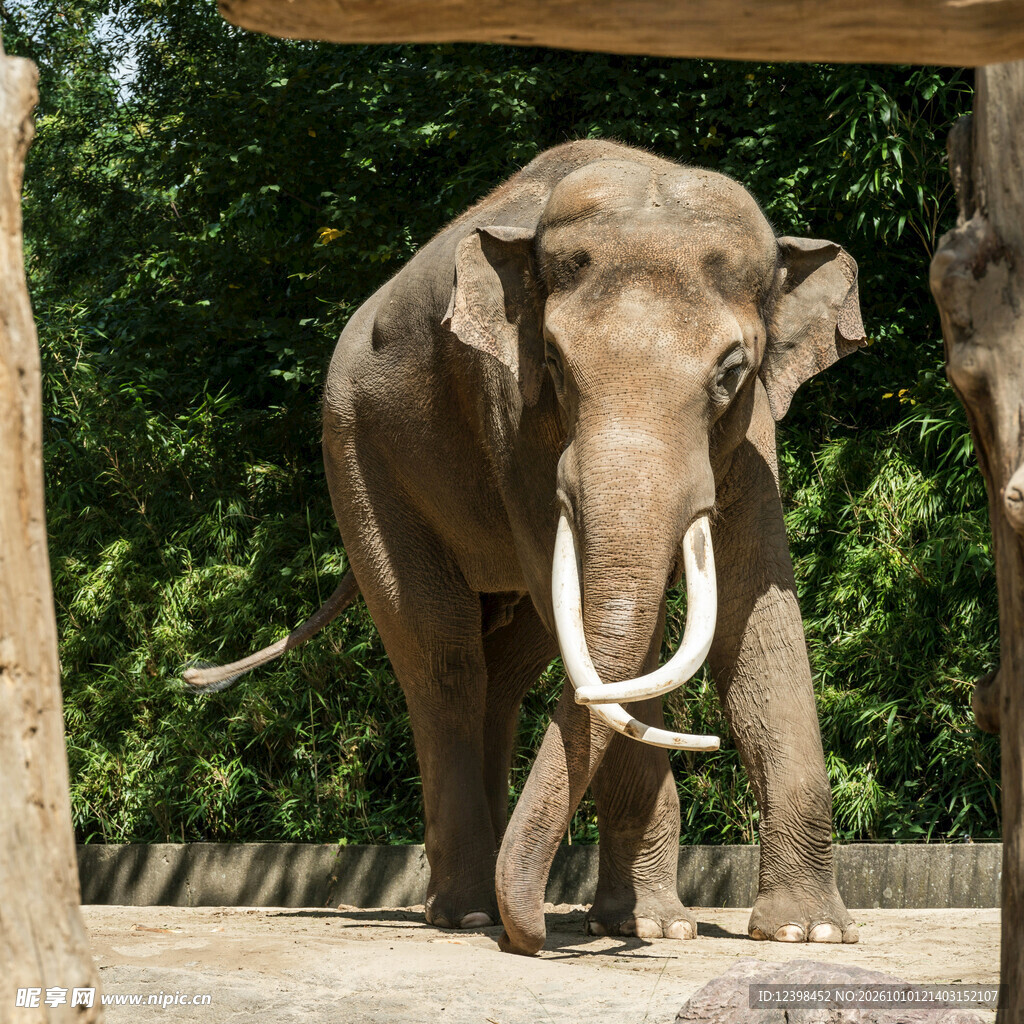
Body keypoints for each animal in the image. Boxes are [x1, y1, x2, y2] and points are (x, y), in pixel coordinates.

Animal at [185, 138, 866, 955]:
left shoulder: (753, 438)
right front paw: (647, 924)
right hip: (357, 455)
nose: (534, 932)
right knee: (443, 659)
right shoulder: (513, 423)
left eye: (732, 370)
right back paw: (467, 913)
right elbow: (622, 657)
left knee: (505, 665)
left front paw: (805, 933)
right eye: (554, 361)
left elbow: (757, 626)